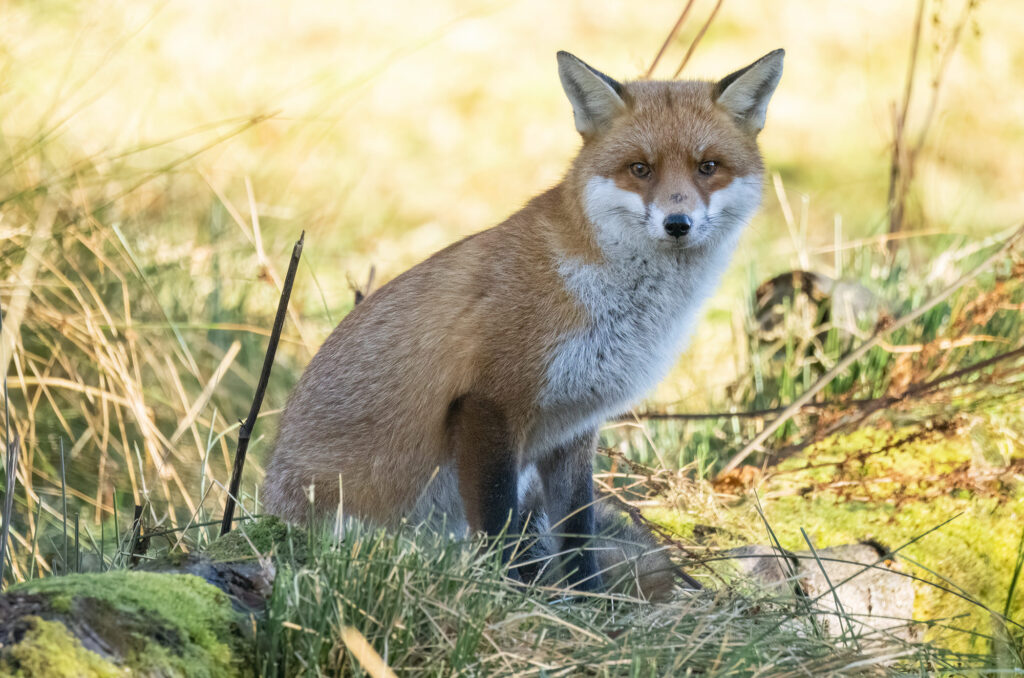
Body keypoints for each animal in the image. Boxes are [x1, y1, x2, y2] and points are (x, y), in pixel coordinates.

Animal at [264, 50, 782, 598]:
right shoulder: (489, 401)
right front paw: (509, 596)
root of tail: (263, 506)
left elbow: (578, 528)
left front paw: (586, 598)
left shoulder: (576, 422)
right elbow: (497, 524)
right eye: (640, 169)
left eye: (708, 167)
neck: (621, 308)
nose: (677, 224)